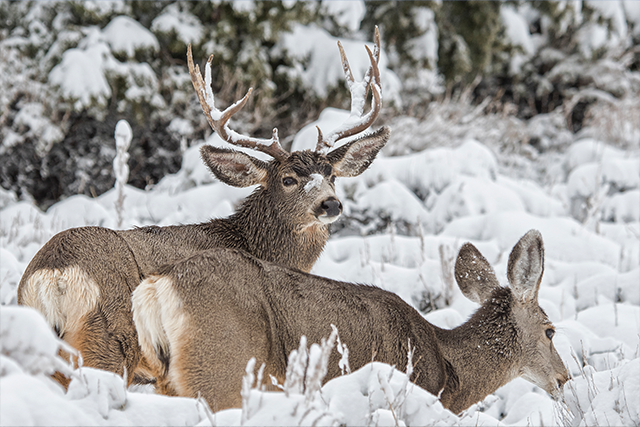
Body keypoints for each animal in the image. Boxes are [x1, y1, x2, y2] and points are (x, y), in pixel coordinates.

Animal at [17, 30, 389, 388]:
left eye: (331, 175)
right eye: (287, 179)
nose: (330, 203)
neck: (254, 244)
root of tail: (52, 276)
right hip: (107, 339)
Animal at [131, 229, 569, 414]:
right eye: (550, 331)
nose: (565, 378)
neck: (449, 371)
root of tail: (156, 285)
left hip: (170, 379)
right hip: (222, 365)